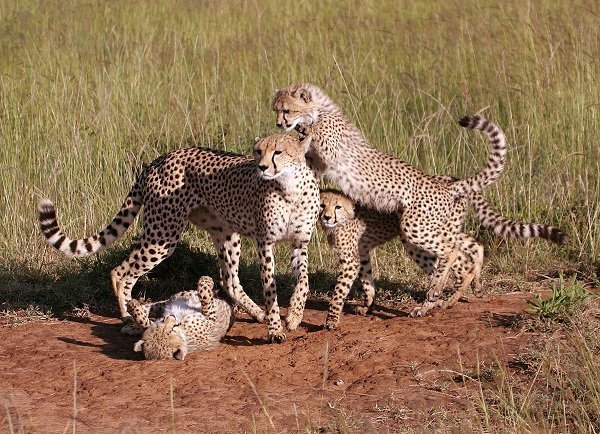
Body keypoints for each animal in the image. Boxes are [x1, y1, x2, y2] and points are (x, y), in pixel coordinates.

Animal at [38, 134, 322, 344]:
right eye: (257, 152)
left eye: (278, 152)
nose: (261, 167)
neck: (289, 189)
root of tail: (159, 159)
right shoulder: (265, 243)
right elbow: (270, 289)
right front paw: (275, 329)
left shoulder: (300, 242)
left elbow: (304, 281)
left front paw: (294, 316)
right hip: (163, 234)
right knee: (121, 271)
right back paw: (128, 318)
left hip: (224, 233)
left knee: (228, 279)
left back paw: (257, 313)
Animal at [318, 187, 568, 328]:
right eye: (322, 205)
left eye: (337, 207)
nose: (326, 217)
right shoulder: (362, 253)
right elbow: (367, 280)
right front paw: (367, 306)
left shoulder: (350, 258)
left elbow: (340, 290)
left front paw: (331, 320)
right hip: (442, 232)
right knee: (473, 247)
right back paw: (466, 290)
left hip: (417, 238)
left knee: (456, 261)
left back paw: (436, 302)